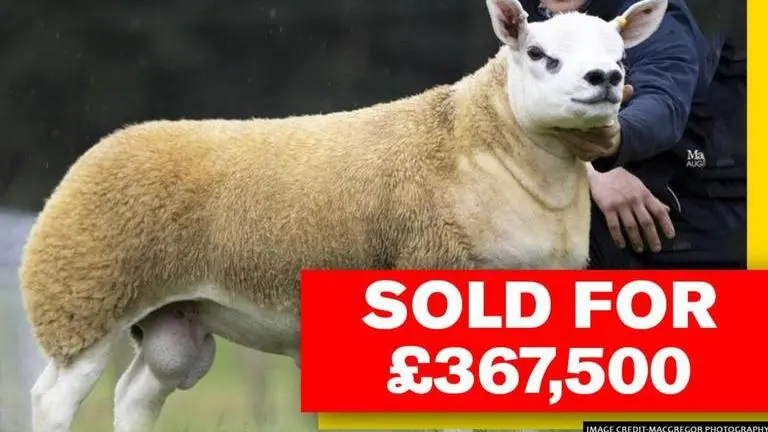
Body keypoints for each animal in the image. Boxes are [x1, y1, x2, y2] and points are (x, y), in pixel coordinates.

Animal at [18, 0, 667, 430]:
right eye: (539, 55)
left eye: (620, 56)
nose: (606, 79)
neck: (490, 146)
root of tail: (103, 148)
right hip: (83, 297)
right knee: (53, 399)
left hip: (174, 320)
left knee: (136, 396)